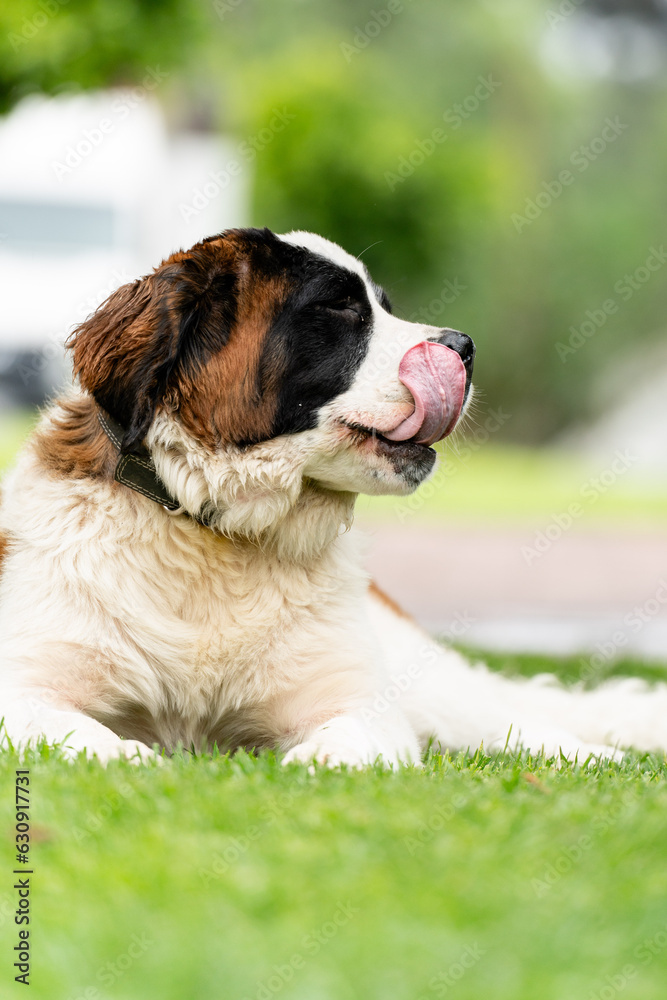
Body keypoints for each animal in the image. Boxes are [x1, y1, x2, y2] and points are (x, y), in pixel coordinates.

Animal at [1, 229, 667, 764]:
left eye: (382, 306)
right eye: (340, 308)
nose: (464, 346)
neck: (214, 539)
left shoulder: (359, 702)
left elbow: (349, 737)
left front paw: (314, 764)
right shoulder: (27, 684)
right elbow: (80, 731)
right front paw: (132, 757)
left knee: (509, 721)